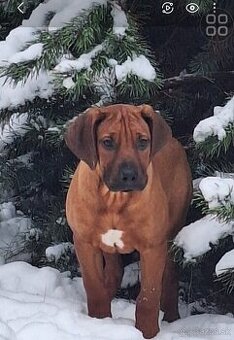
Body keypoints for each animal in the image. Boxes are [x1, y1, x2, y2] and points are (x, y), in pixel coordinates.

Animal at [64, 104, 192, 340]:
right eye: (107, 142)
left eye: (142, 141)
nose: (129, 176)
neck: (113, 200)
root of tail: (173, 140)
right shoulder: (84, 242)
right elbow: (94, 288)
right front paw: (99, 322)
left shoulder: (153, 248)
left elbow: (148, 299)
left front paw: (147, 332)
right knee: (114, 273)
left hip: (172, 234)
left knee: (170, 278)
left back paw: (172, 318)